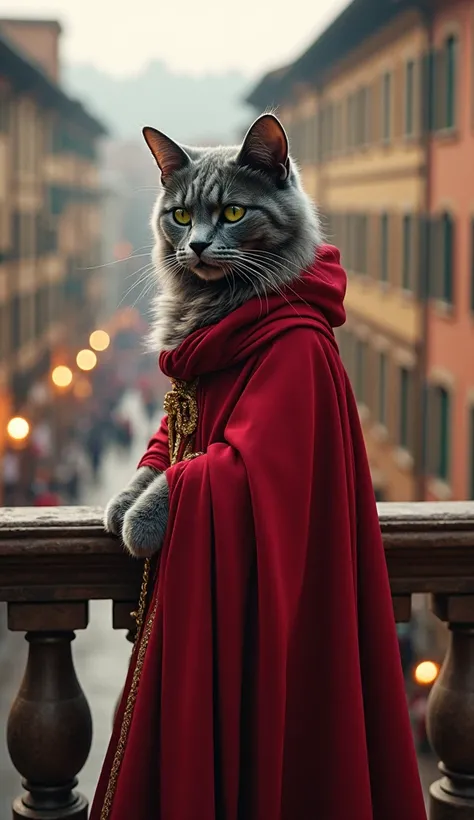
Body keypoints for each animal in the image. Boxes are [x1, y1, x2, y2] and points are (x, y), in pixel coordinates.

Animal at [104, 112, 322, 556]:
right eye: (181, 216)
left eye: (234, 212)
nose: (198, 245)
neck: (211, 302)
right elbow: (154, 459)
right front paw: (123, 501)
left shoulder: (258, 442)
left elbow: (187, 471)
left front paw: (140, 520)